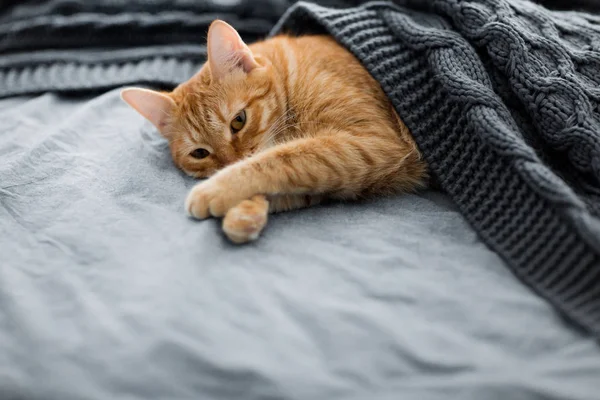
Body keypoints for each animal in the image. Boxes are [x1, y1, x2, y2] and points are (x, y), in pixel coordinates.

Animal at [120, 20, 426, 244]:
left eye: (238, 121)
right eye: (199, 153)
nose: (231, 162)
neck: (290, 76)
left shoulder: (370, 142)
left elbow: (284, 159)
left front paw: (216, 189)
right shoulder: (349, 172)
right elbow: (293, 179)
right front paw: (245, 212)